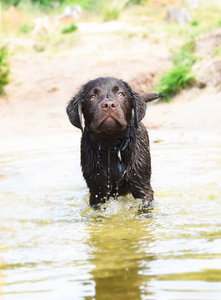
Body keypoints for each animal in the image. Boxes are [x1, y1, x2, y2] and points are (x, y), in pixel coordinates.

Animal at [66, 77, 163, 206]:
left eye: (121, 94)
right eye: (92, 96)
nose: (108, 105)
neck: (112, 145)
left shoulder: (142, 185)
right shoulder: (97, 190)